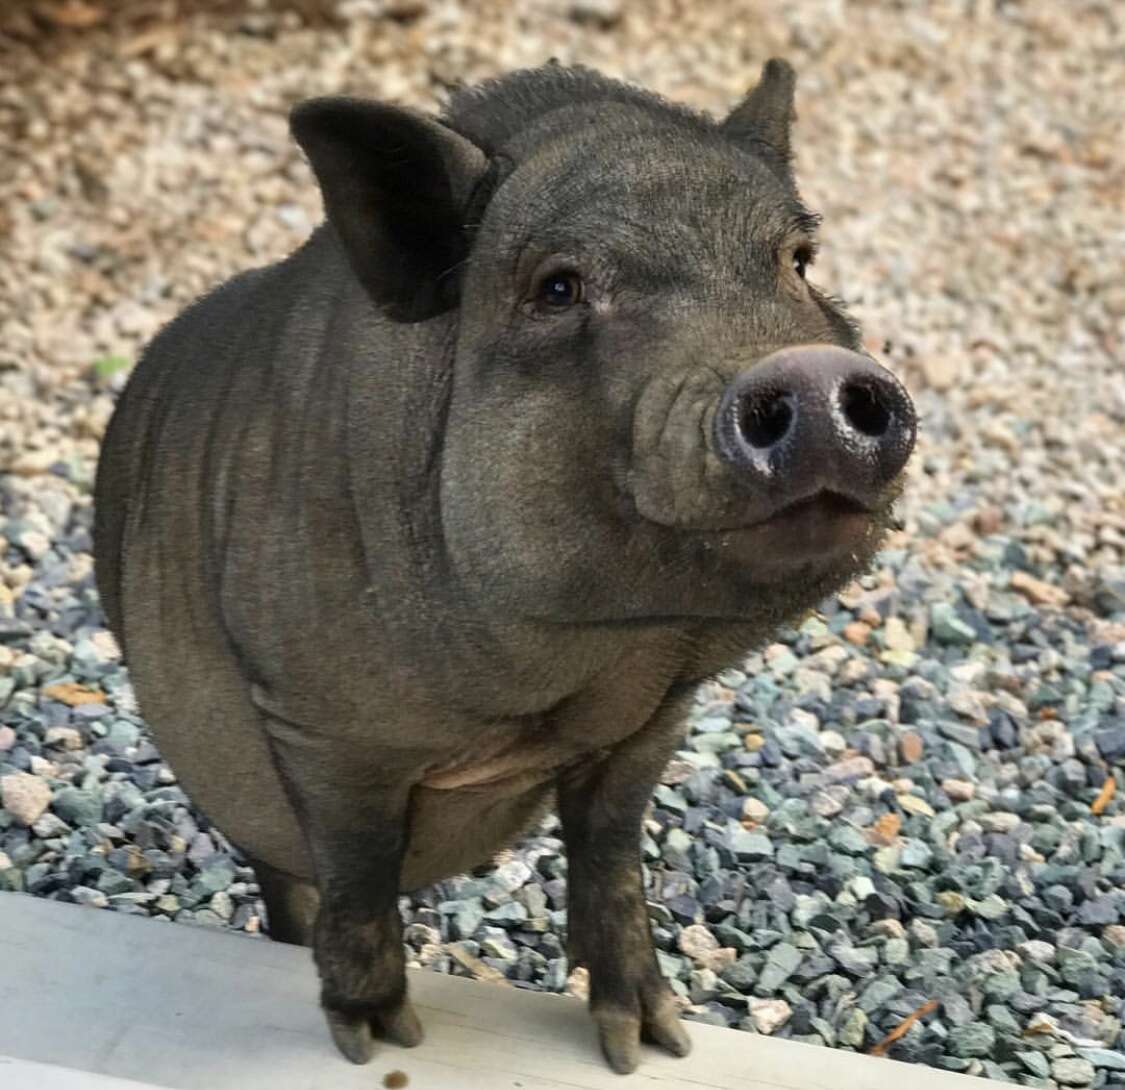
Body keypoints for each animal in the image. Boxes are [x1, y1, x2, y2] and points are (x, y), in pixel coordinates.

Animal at [94, 59, 913, 1070]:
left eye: (796, 262)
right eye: (557, 287)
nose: (806, 371)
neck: (566, 680)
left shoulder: (651, 721)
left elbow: (610, 855)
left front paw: (650, 1045)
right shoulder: (316, 724)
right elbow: (358, 870)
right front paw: (380, 1043)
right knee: (285, 876)